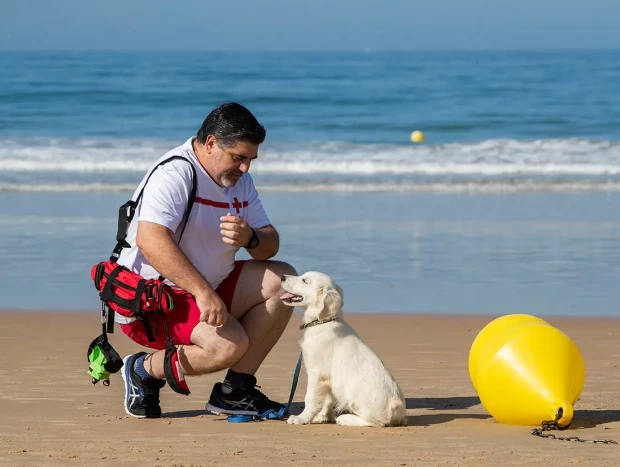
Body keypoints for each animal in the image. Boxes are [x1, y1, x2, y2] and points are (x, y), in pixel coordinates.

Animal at [280, 270, 406, 428]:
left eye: (305, 281)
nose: (282, 277)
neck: (322, 322)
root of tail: (398, 411)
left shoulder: (316, 373)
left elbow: (310, 398)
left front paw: (301, 418)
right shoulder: (329, 380)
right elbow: (328, 400)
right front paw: (321, 417)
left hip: (354, 395)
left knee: (376, 422)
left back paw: (346, 419)